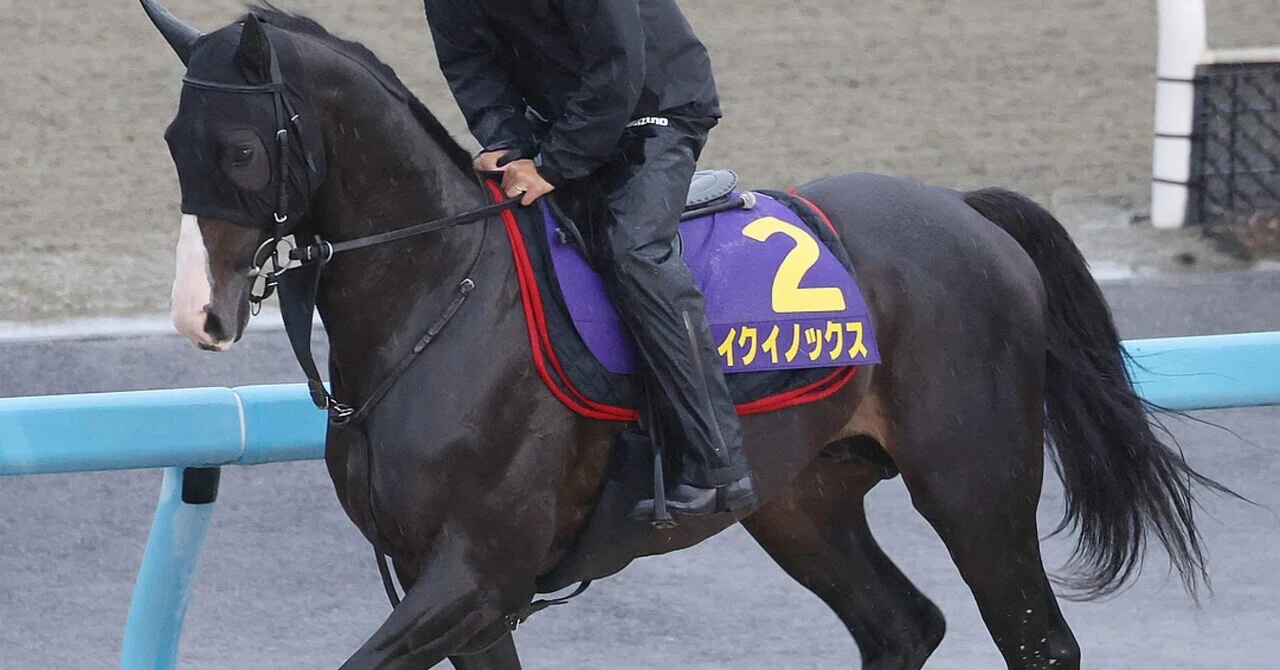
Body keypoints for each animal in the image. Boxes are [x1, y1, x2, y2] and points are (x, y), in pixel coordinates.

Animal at [139, 3, 1229, 668]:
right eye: (171, 144)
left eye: (241, 150)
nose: (198, 313)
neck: (439, 298)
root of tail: (967, 212)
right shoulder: (442, 579)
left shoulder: (475, 570)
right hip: (804, 497)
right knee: (900, 625)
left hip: (975, 485)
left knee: (1038, 641)